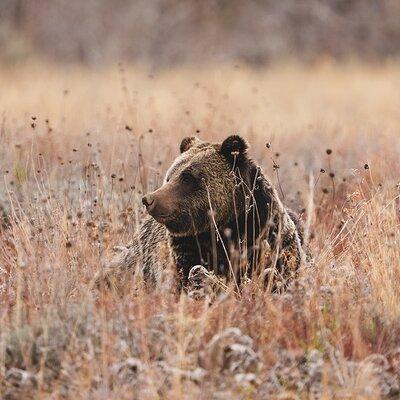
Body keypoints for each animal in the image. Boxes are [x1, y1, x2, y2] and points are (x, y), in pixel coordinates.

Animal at [101, 135, 306, 290]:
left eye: (187, 177)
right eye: (169, 176)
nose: (149, 199)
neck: (228, 226)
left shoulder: (269, 235)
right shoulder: (188, 248)